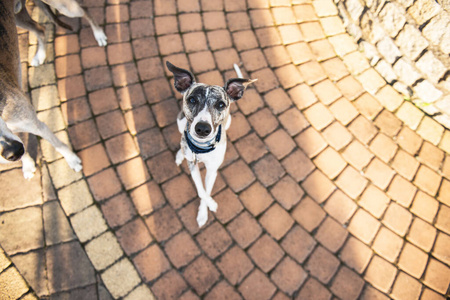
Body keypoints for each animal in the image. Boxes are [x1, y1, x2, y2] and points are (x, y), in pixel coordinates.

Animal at [166, 62, 256, 229]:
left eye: (221, 104)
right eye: (192, 100)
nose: (202, 128)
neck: (201, 148)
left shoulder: (212, 170)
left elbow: (206, 191)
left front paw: (204, 212)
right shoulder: (193, 165)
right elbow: (201, 191)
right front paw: (211, 205)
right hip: (180, 121)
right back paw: (180, 154)